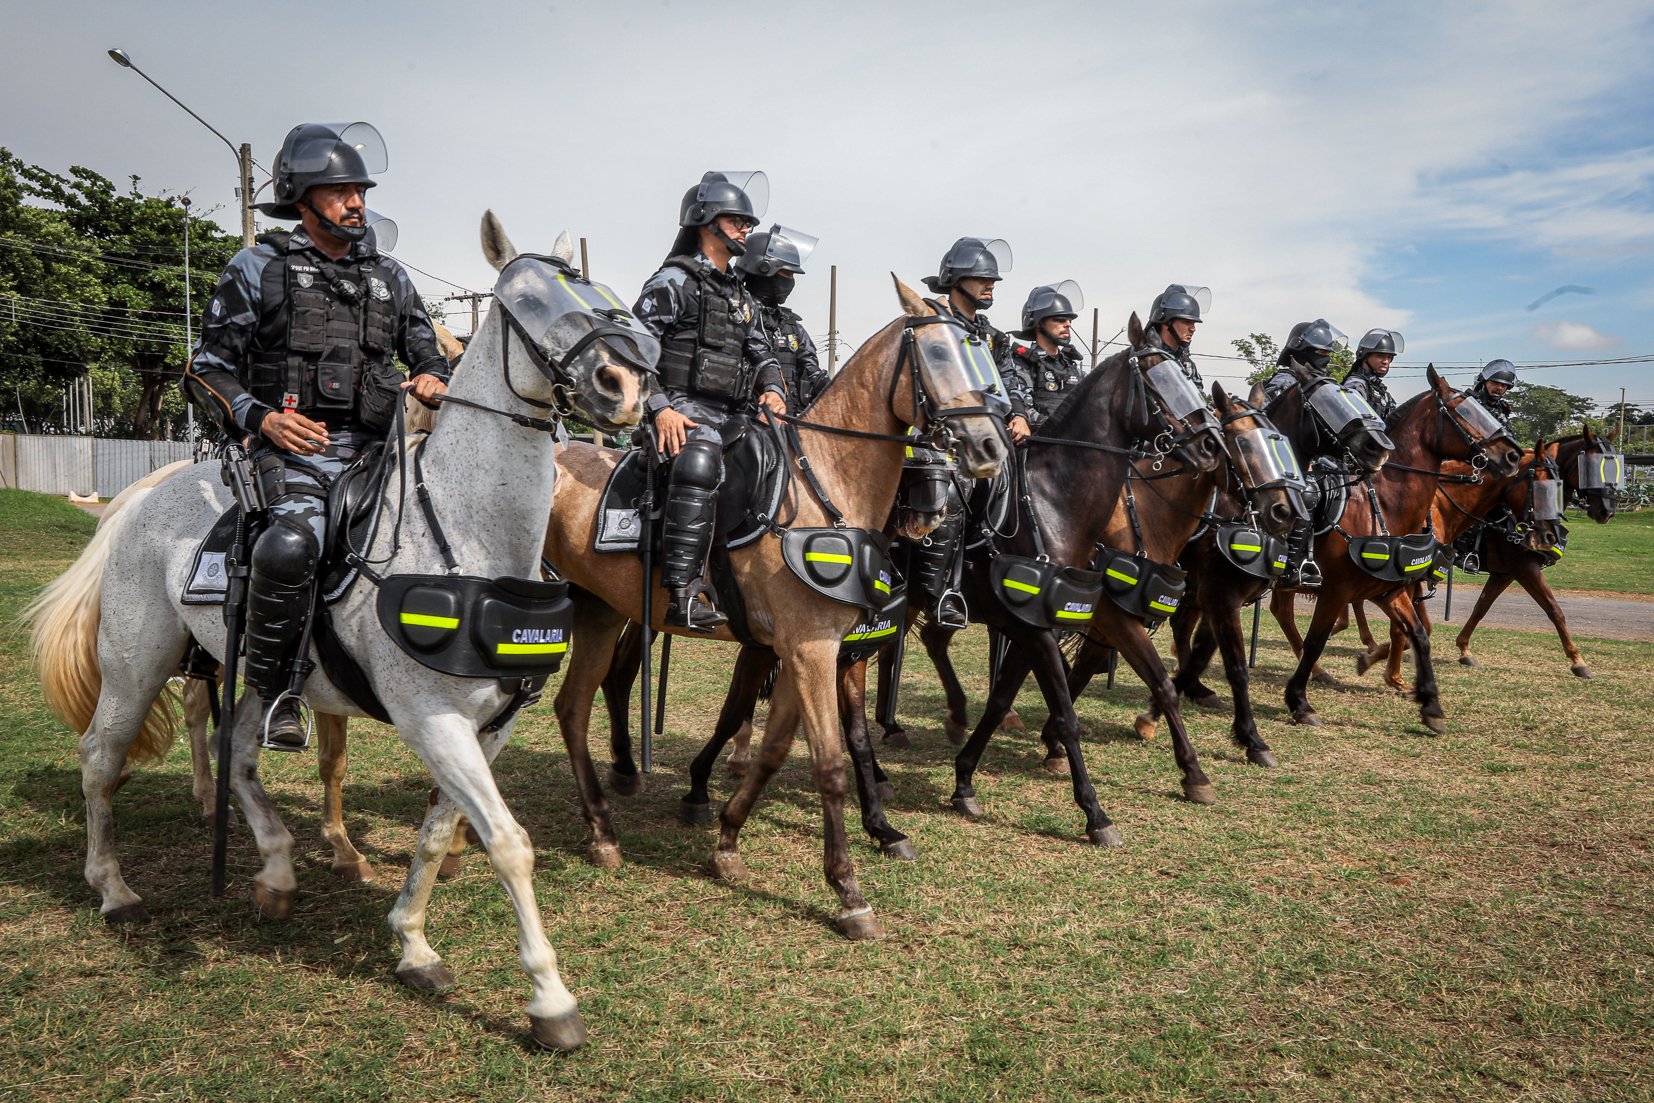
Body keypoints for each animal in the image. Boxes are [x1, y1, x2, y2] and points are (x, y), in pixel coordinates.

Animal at [29, 214, 645, 1051]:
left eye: (599, 286)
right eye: (526, 300)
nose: (625, 384)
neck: (468, 535)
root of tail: (143, 495)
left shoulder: (489, 728)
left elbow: (437, 832)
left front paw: (413, 942)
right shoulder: (434, 720)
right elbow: (508, 842)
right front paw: (550, 998)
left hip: (258, 669)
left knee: (234, 748)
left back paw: (277, 871)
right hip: (136, 664)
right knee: (100, 758)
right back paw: (115, 889)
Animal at [542, 276, 1005, 939]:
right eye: (940, 355)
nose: (991, 445)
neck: (824, 488)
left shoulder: (808, 652)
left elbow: (773, 752)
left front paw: (727, 843)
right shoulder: (811, 652)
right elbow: (830, 765)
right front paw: (849, 894)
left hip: (601, 611)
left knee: (573, 707)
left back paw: (603, 830)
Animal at [1263, 368, 1521, 734]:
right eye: (1464, 412)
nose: (1512, 456)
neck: (1384, 504)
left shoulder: (1392, 590)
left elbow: (1419, 635)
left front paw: (1430, 704)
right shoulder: (1337, 591)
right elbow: (1318, 640)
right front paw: (1300, 702)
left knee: (1280, 611)